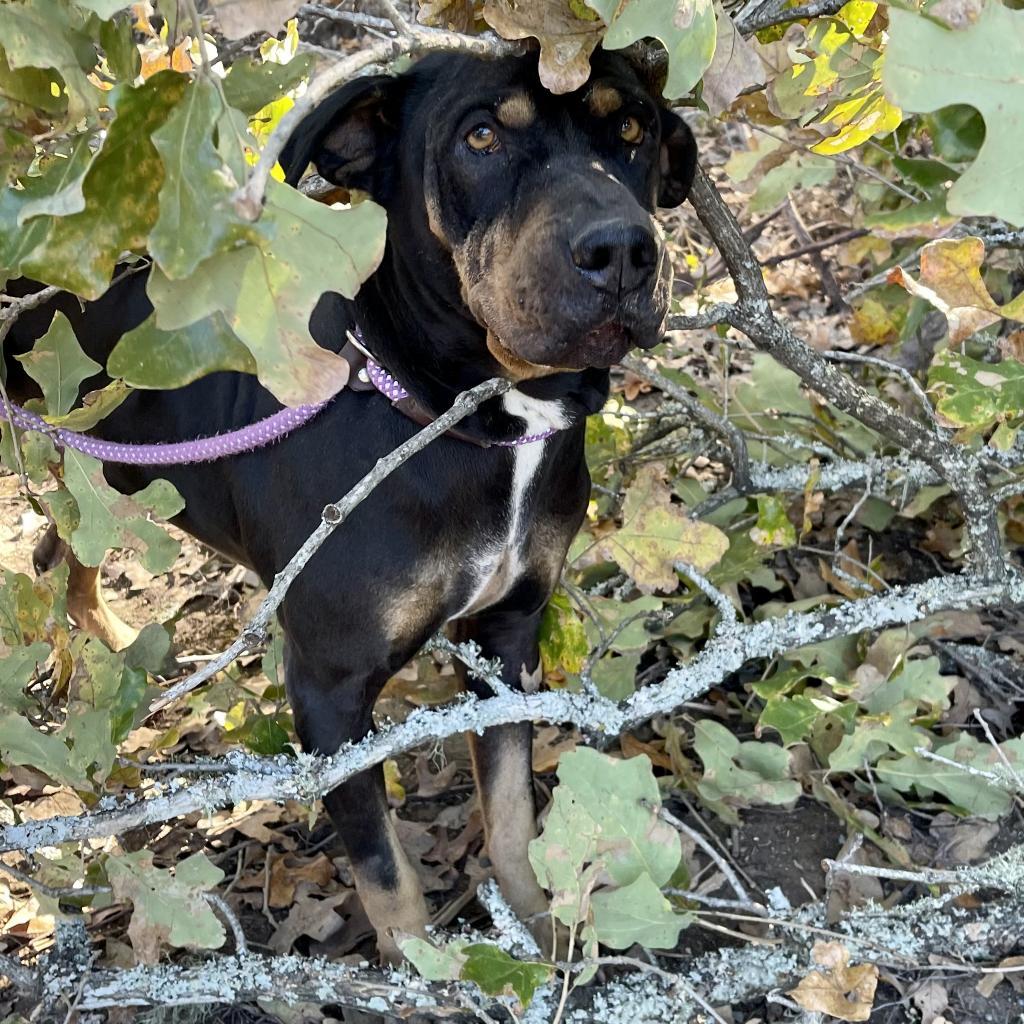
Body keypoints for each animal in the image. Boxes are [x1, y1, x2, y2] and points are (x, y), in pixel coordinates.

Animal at [4, 46, 696, 958]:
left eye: (633, 129)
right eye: (480, 136)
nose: (623, 250)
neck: (454, 411)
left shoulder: (509, 639)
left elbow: (513, 814)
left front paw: (540, 934)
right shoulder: (330, 694)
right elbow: (388, 878)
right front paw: (425, 972)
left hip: (96, 471)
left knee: (63, 555)